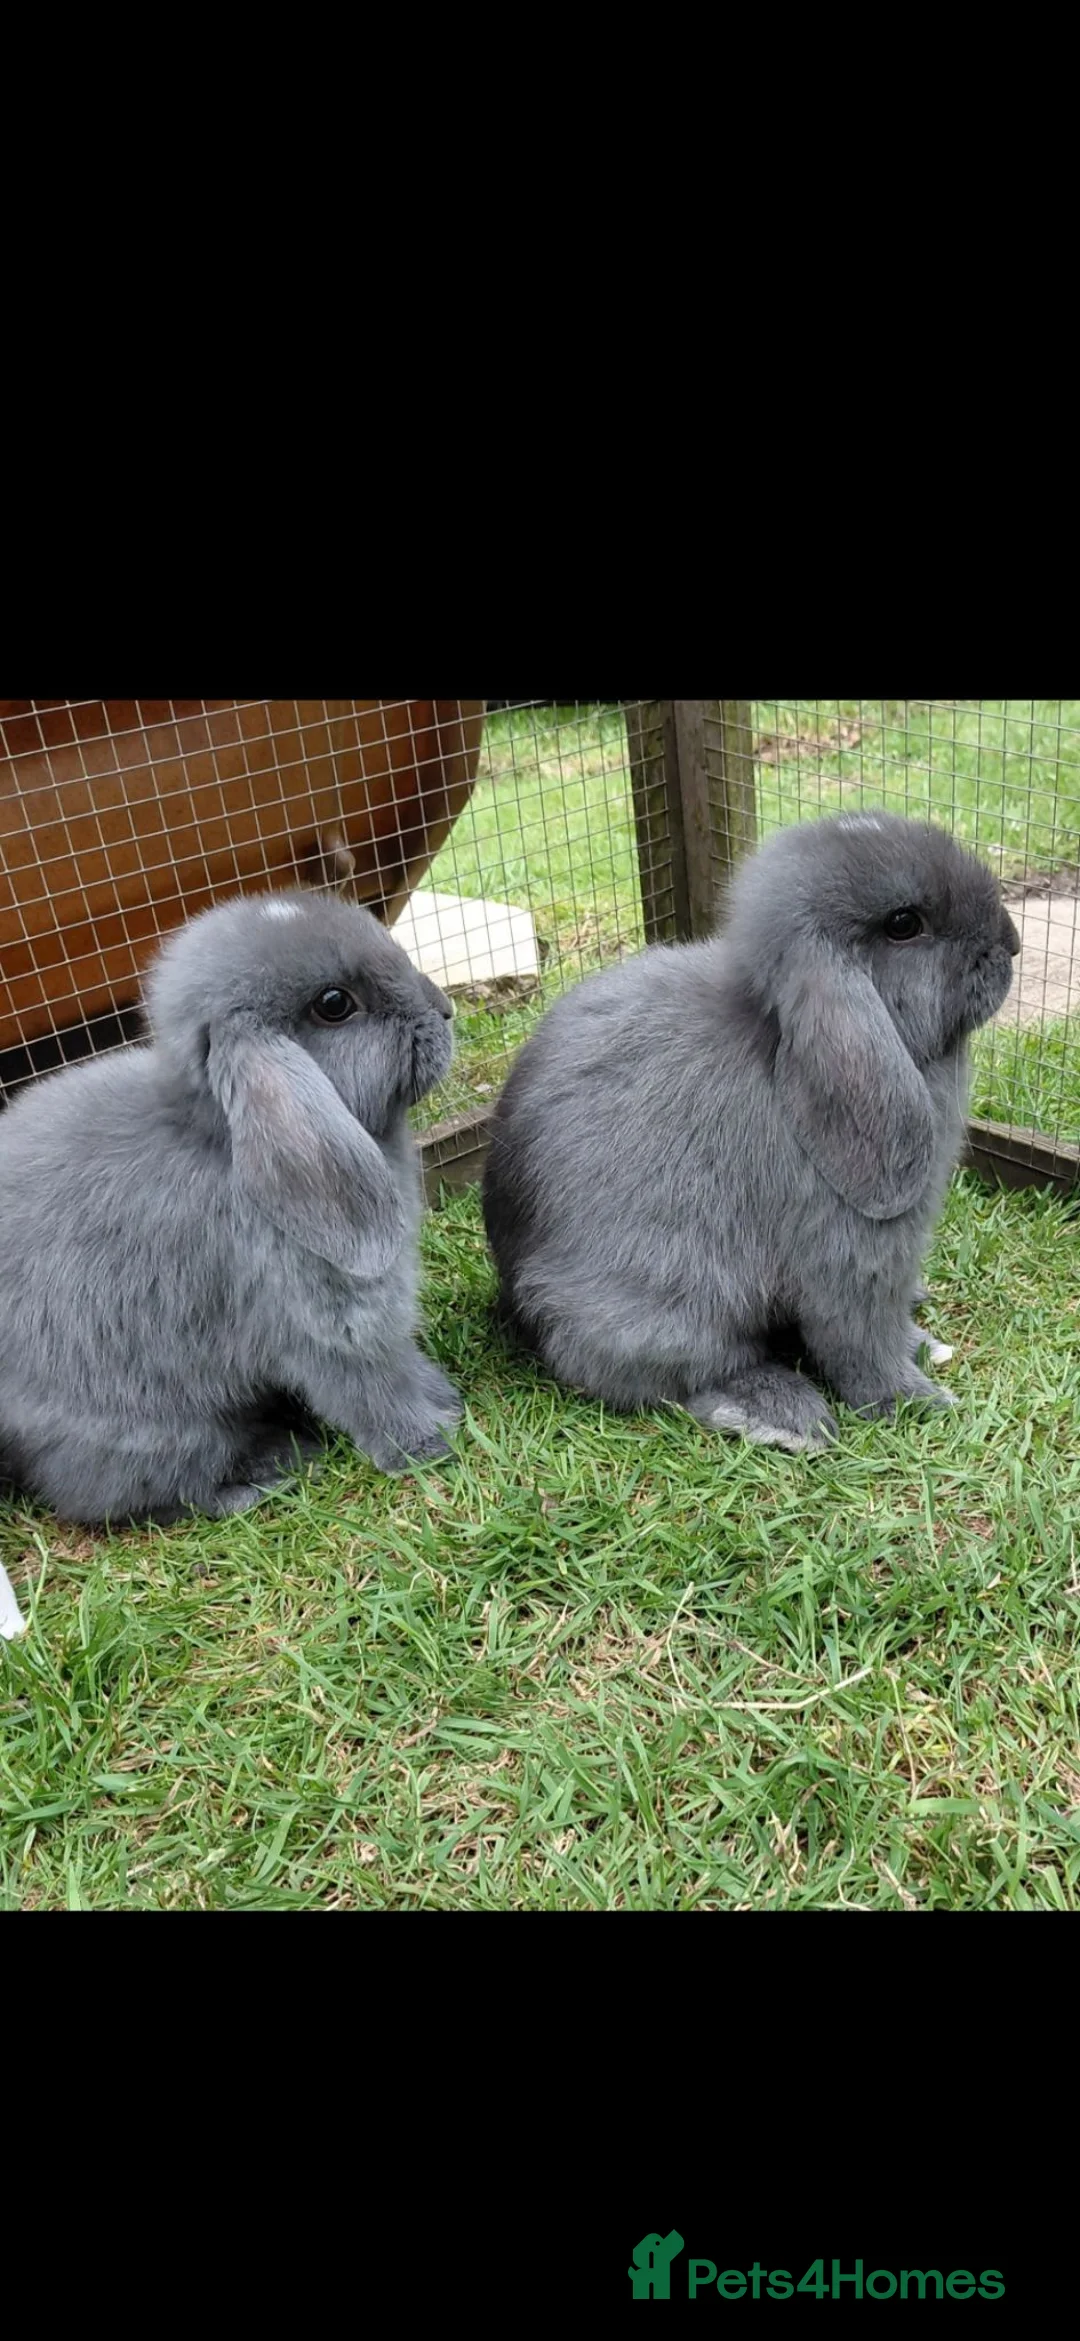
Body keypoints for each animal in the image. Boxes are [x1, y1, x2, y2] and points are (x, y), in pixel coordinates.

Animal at [0, 890, 461, 1525]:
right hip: (159, 1433)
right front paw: (427, 1444)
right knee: (144, 1497)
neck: (219, 1139)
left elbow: (402, 1364)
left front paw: (447, 1399)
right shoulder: (327, 1328)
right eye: (334, 1005)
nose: (445, 1009)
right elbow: (372, 1391)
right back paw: (264, 1478)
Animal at [482, 813, 1020, 1452]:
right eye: (904, 925)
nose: (1011, 944)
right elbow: (861, 1343)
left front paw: (923, 1348)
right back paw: (785, 1414)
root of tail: (516, 1298)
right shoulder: (854, 1259)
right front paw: (917, 1401)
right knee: (672, 1375)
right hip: (671, 1301)